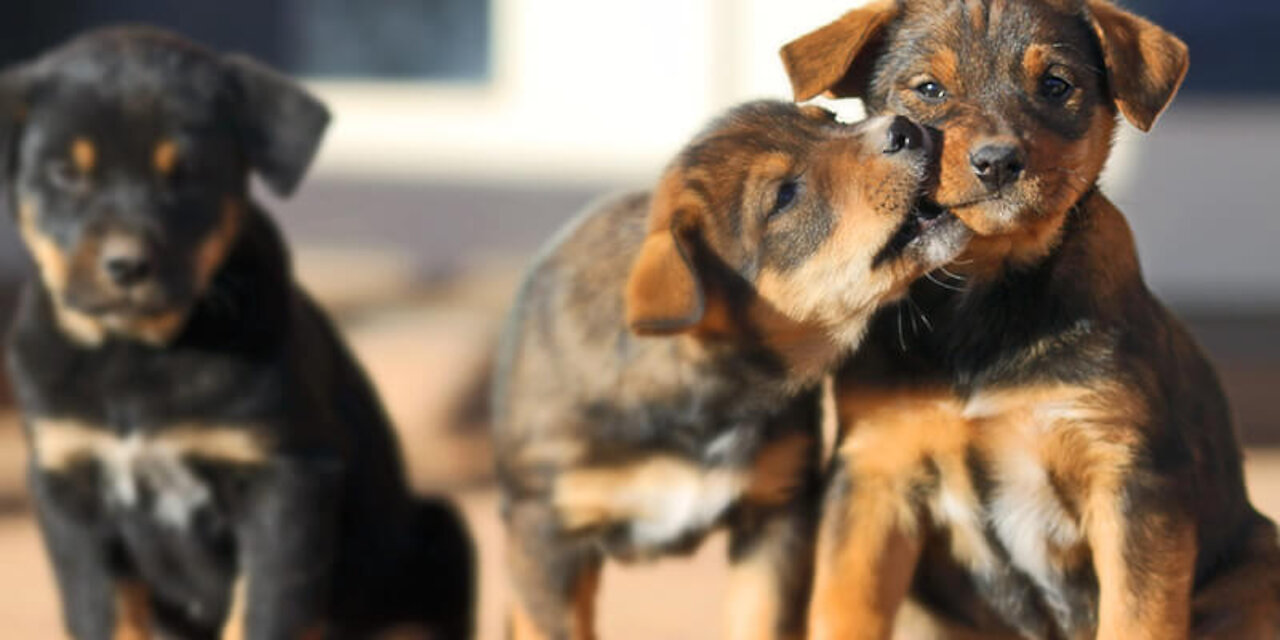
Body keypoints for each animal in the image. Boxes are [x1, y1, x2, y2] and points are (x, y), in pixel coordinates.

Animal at [0, 26, 476, 640]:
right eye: (66, 173)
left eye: (186, 174)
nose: (126, 266)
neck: (139, 354)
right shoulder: (69, 485)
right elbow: (102, 613)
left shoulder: (286, 478)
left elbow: (265, 608)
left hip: (440, 532)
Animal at [488, 101, 967, 640]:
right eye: (784, 195)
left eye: (829, 117)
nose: (904, 127)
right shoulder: (544, 534)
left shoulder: (777, 511)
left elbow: (760, 621)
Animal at [783, 1, 1274, 640]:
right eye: (929, 89)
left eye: (1057, 86)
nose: (997, 162)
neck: (984, 294)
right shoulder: (874, 472)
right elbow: (843, 608)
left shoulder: (1129, 479)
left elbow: (1136, 616)